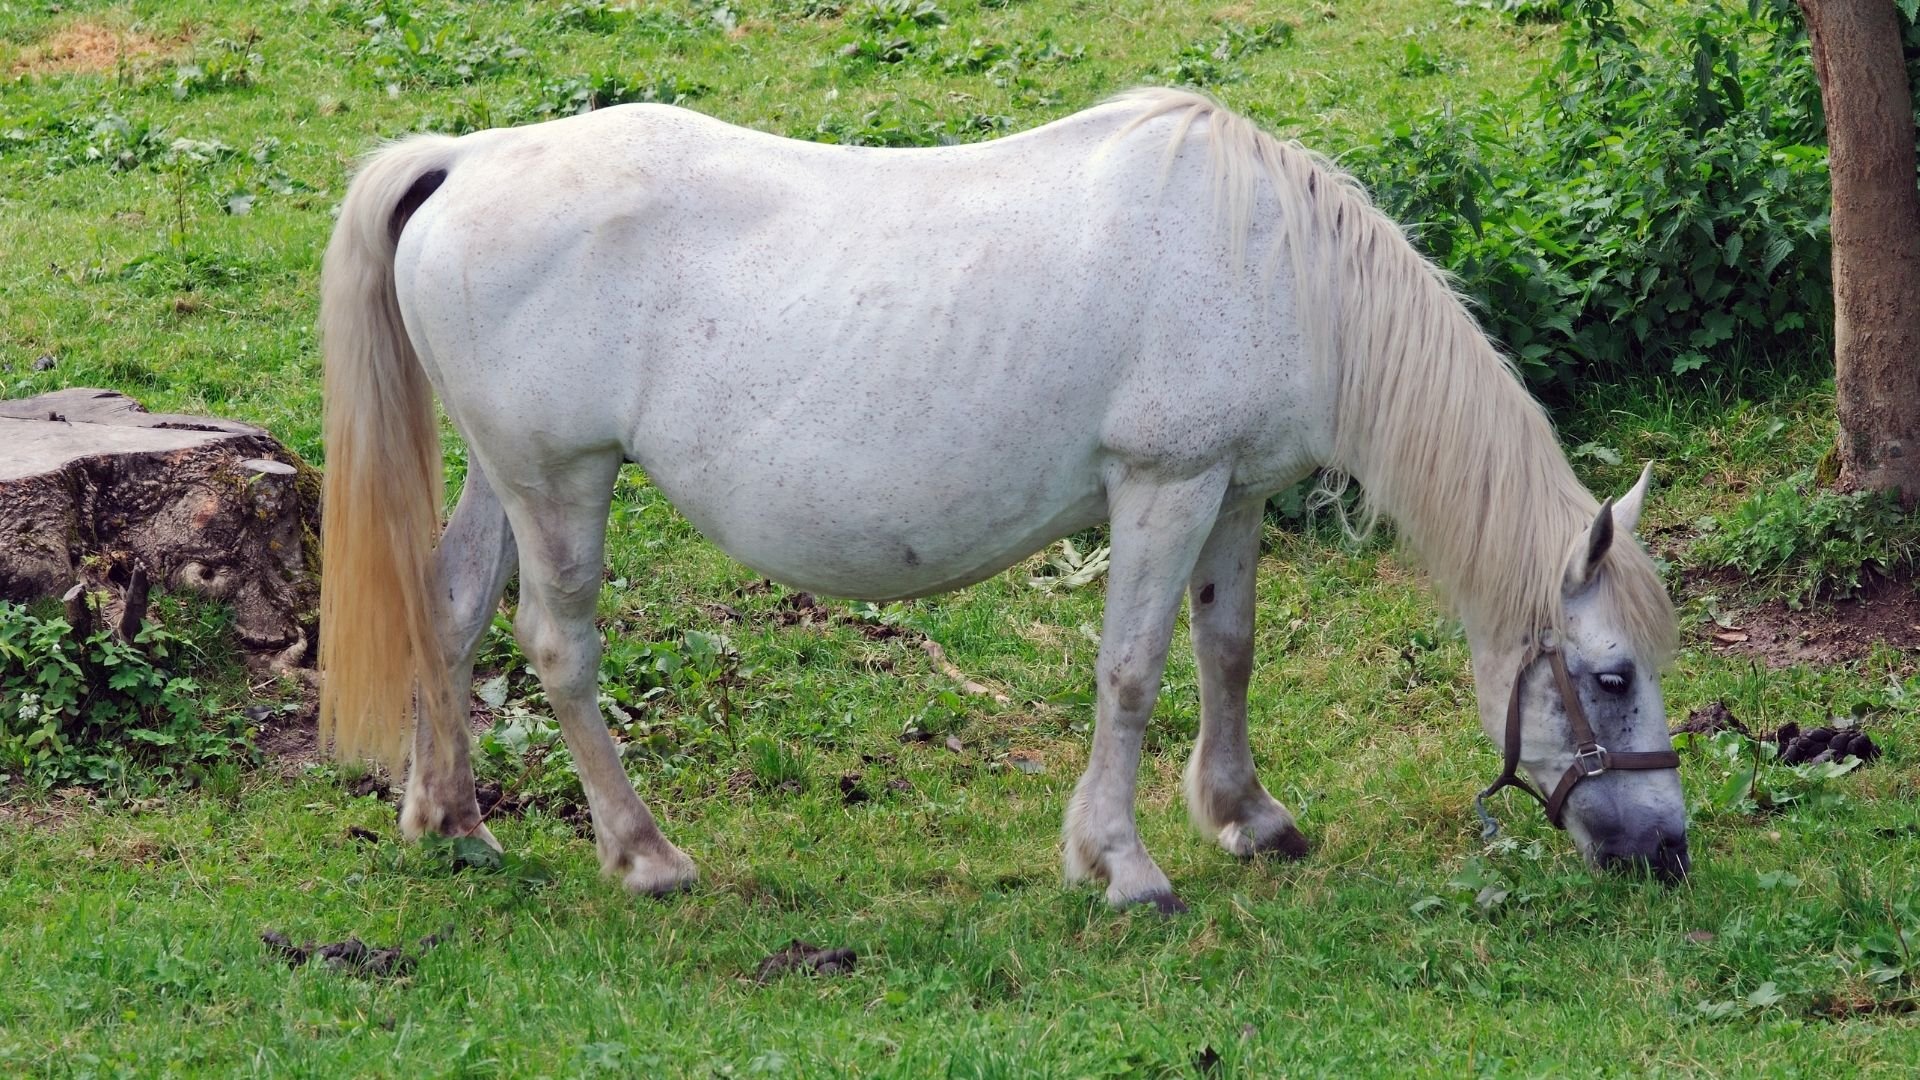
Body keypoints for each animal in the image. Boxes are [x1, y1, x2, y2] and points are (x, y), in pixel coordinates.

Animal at [316, 88, 1688, 912]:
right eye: (1611, 676)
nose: (1670, 851)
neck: (1276, 267)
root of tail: (465, 160)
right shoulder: (1163, 487)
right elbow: (1133, 672)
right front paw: (1121, 863)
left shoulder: (1231, 496)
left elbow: (1229, 651)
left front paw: (1247, 816)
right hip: (562, 485)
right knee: (559, 648)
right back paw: (645, 855)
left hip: (508, 477)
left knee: (448, 612)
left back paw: (450, 822)